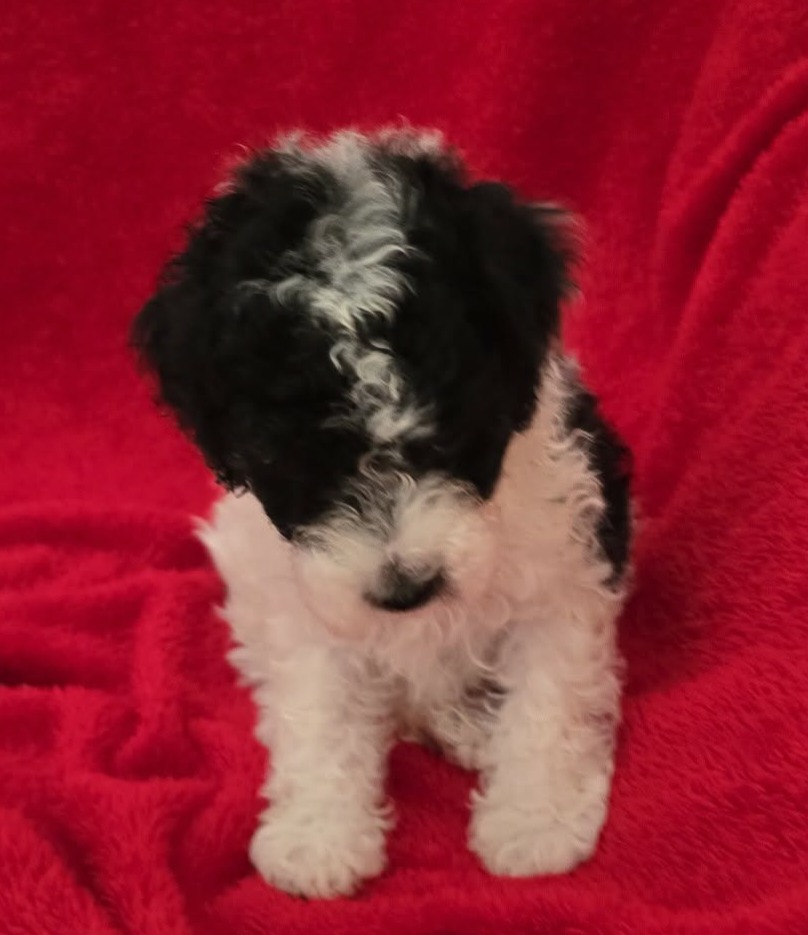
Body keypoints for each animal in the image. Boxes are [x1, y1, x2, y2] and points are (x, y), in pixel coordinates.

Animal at [132, 128, 632, 899]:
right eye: (289, 458)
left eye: (454, 431)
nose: (405, 587)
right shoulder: (302, 600)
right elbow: (319, 706)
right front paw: (320, 834)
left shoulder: (567, 563)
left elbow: (550, 692)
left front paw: (534, 819)